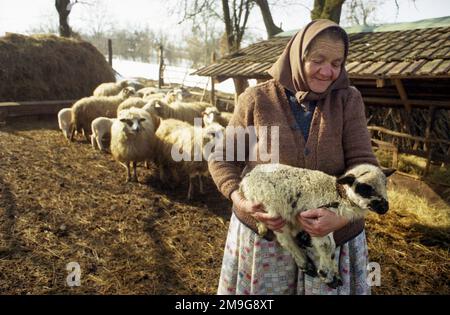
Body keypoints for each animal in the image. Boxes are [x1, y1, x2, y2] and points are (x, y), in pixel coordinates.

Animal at [239, 164, 394, 290]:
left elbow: (332, 247)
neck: (339, 196)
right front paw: (327, 275)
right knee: (285, 239)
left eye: (385, 184)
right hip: (272, 210)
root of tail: (245, 180)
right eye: (365, 189)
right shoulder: (316, 222)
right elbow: (326, 246)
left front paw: (334, 272)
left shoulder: (327, 225)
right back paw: (305, 264)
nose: (385, 207)